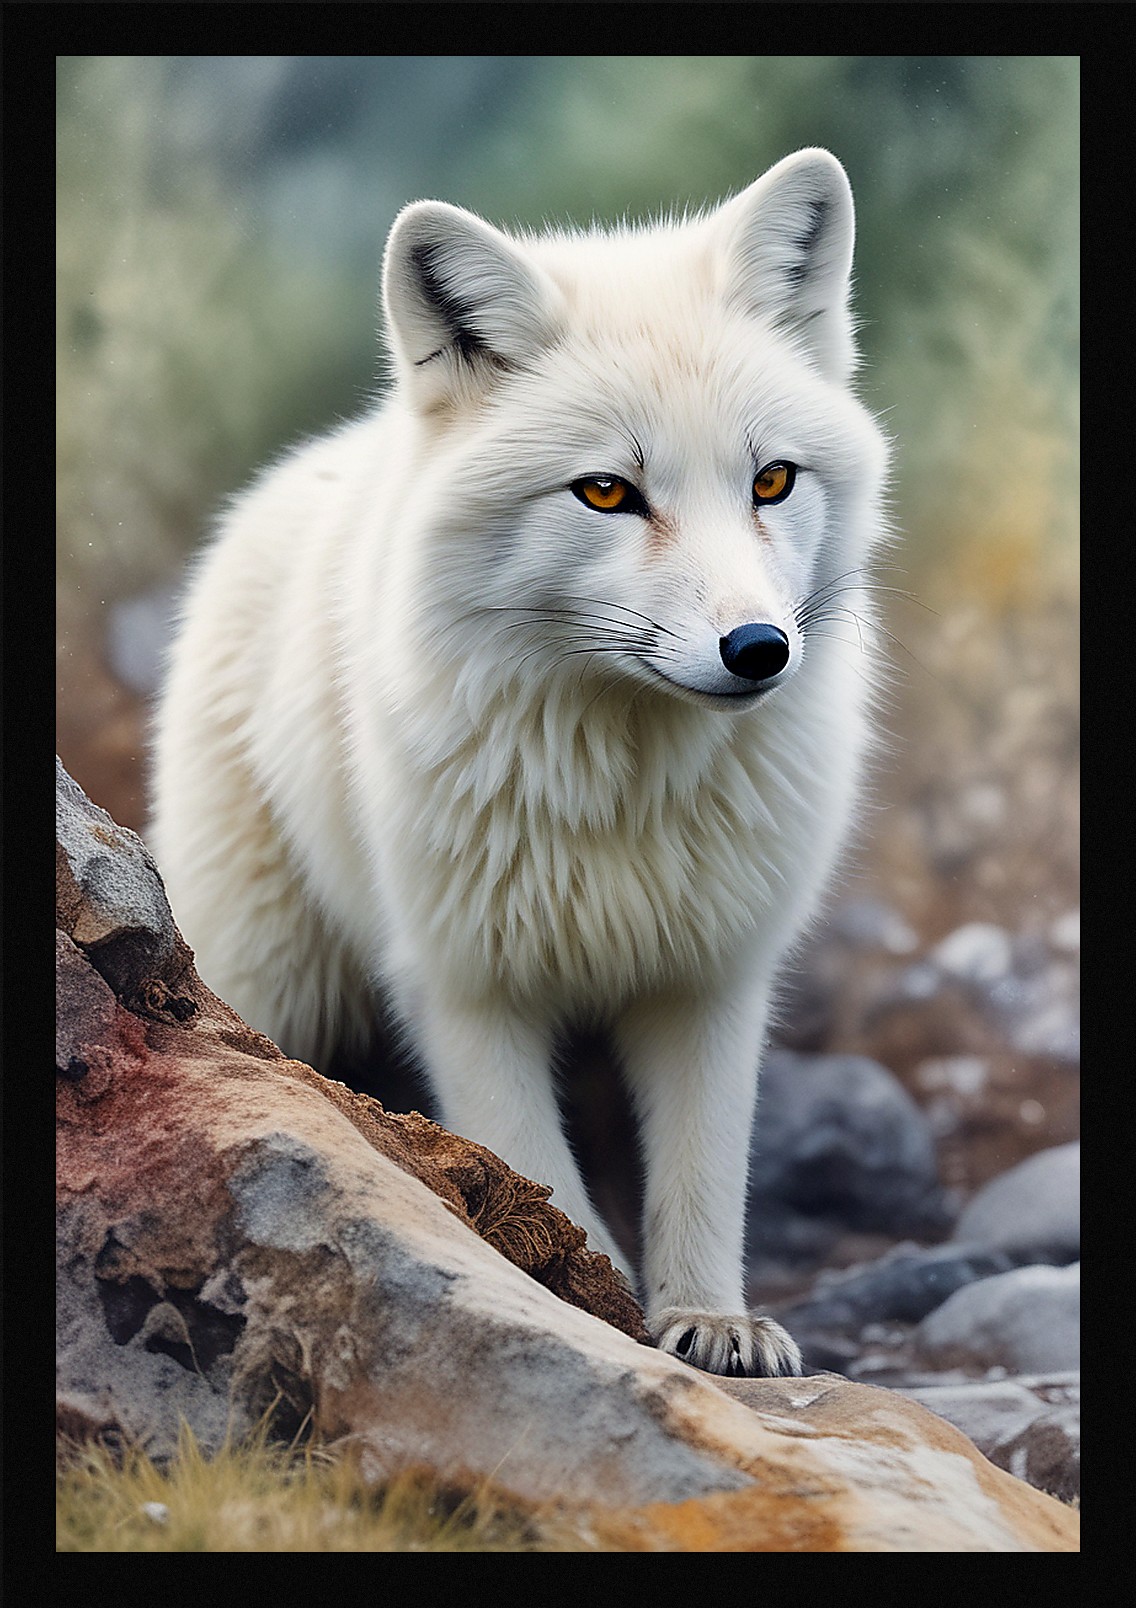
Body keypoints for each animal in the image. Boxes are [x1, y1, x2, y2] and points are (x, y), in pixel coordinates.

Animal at [149, 149, 891, 1377]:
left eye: (772, 481)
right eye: (607, 492)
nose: (758, 649)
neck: (625, 792)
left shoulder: (711, 977)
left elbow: (701, 1174)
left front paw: (710, 1323)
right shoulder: (465, 983)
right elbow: (538, 1179)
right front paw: (590, 1318)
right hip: (275, 981)